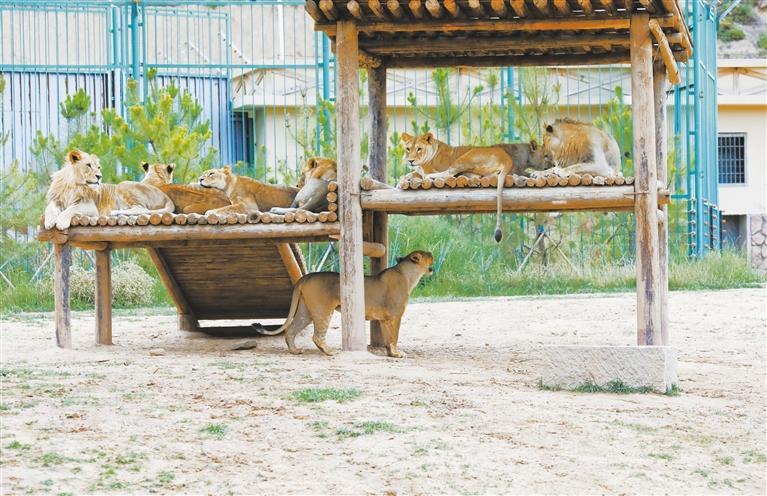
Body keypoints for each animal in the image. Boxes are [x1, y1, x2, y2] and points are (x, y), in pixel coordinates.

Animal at [44, 150, 175, 230]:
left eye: (98, 167)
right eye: (88, 165)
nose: (99, 176)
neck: (75, 185)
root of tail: (166, 197)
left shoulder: (90, 206)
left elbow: (71, 209)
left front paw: (61, 222)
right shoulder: (57, 199)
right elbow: (49, 208)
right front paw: (49, 221)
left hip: (123, 185)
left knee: (142, 209)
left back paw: (115, 212)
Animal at [400, 131, 548, 241]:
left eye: (419, 149)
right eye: (408, 149)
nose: (410, 161)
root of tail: (507, 159)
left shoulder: (430, 168)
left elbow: (420, 173)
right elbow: (411, 173)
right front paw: (405, 178)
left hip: (466, 157)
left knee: (449, 173)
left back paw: (433, 177)